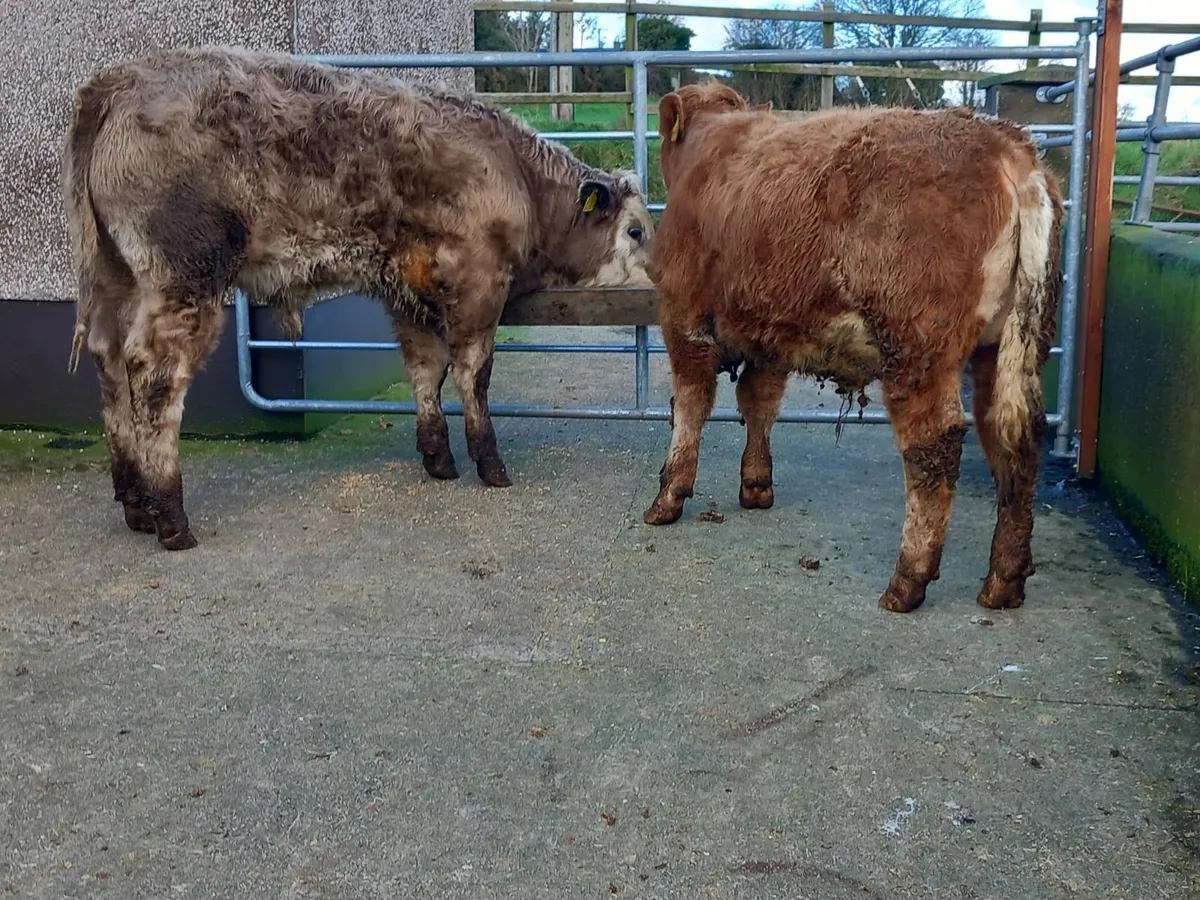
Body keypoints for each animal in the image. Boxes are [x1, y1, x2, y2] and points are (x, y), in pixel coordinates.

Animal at [62, 46, 654, 551]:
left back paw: (135, 504)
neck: (516, 173)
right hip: (185, 276)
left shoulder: (408, 294)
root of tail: (123, 79)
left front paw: (438, 457)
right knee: (154, 374)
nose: (665, 278)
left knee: (109, 360)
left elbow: (426, 371)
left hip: (117, 278)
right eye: (637, 231)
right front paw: (491, 465)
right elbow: (473, 373)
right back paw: (169, 515)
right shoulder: (478, 283)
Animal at [642, 82, 1064, 614]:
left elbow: (691, 405)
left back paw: (908, 580)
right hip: (1005, 348)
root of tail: (1004, 144)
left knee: (935, 445)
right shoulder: (769, 330)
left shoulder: (683, 315)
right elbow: (759, 401)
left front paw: (669, 495)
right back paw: (1004, 580)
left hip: (918, 349)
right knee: (1013, 435)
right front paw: (756, 484)